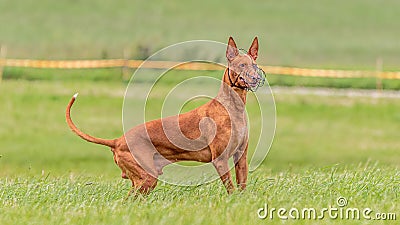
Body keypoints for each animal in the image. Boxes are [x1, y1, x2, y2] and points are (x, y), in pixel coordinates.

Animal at [66, 36, 266, 193]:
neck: (233, 107)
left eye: (255, 65)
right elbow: (231, 190)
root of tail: (118, 140)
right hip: (145, 178)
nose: (256, 77)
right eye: (241, 65)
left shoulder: (241, 157)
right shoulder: (220, 160)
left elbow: (241, 188)